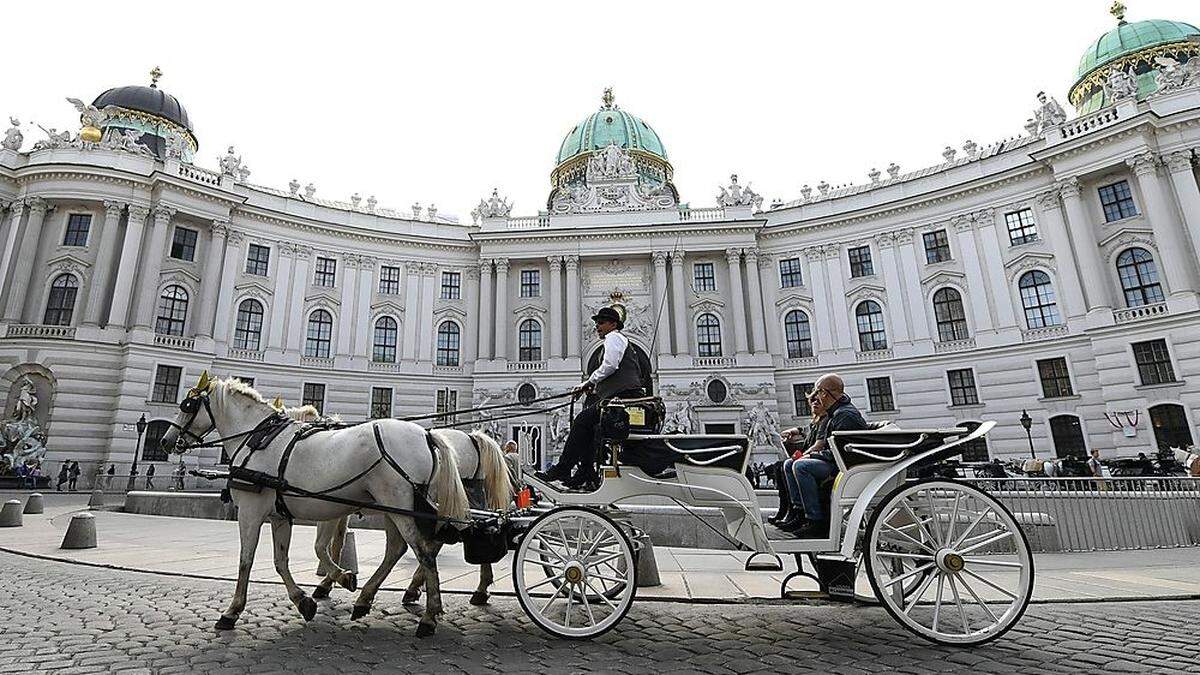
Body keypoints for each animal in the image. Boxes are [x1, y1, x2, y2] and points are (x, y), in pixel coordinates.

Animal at [162, 372, 470, 634]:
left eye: (187, 405)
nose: (166, 441)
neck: (257, 438)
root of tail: (427, 434)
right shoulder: (280, 515)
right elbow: (282, 560)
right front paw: (307, 599)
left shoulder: (251, 511)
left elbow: (246, 560)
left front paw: (232, 611)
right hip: (393, 509)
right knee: (398, 549)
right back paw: (366, 600)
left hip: (401, 507)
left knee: (424, 552)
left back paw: (429, 617)